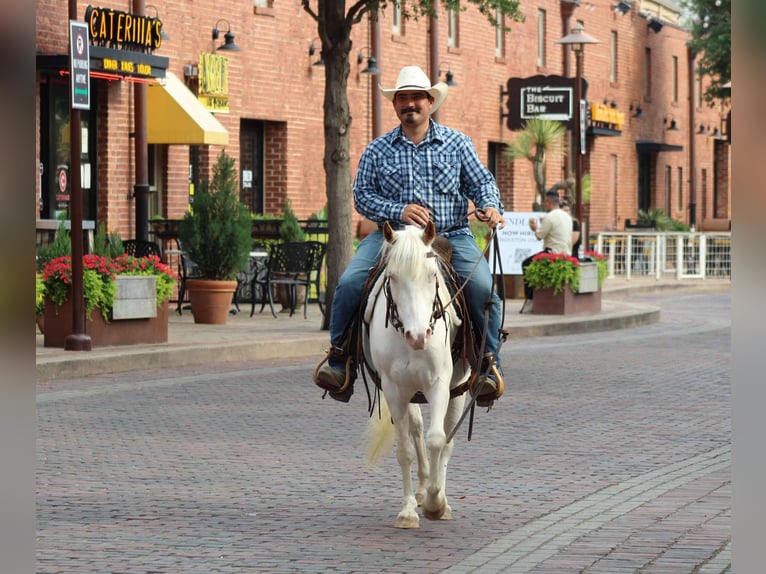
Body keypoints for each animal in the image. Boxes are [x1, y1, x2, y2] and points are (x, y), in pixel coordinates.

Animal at [363, 220, 472, 529]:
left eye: (432, 275)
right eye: (392, 277)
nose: (418, 336)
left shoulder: (439, 384)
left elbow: (437, 440)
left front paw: (436, 502)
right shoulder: (394, 389)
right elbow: (406, 450)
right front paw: (409, 510)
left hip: (458, 390)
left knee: (446, 440)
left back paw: (439, 497)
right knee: (416, 429)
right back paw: (422, 489)